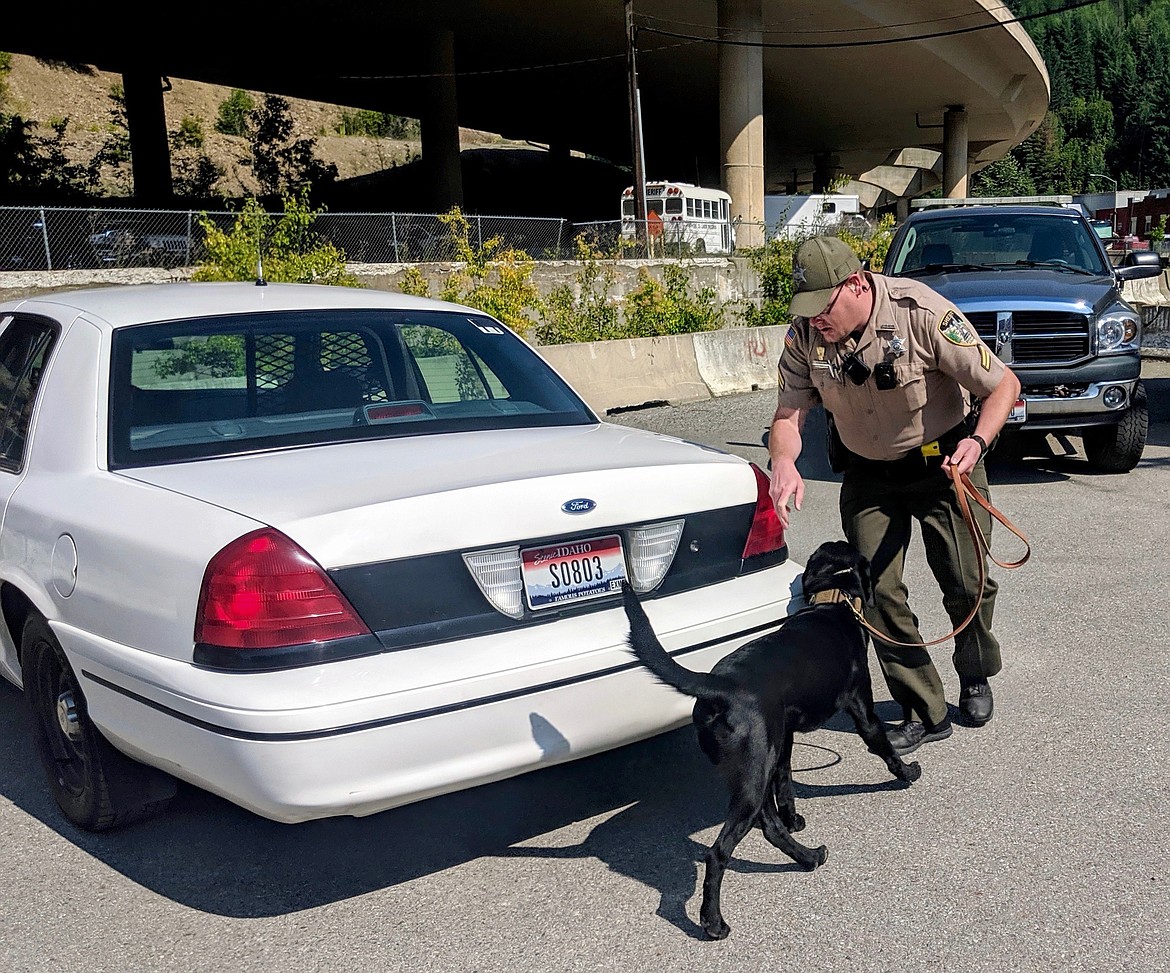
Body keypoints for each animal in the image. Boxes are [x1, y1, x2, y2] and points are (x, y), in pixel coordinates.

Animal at [622, 535, 921, 940]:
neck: (832, 600)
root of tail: (721, 686)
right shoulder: (863, 711)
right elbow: (885, 748)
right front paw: (908, 772)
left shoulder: (786, 740)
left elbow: (787, 784)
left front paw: (794, 817)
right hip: (752, 778)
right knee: (719, 852)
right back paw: (714, 921)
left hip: (756, 769)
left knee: (770, 825)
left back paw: (808, 856)